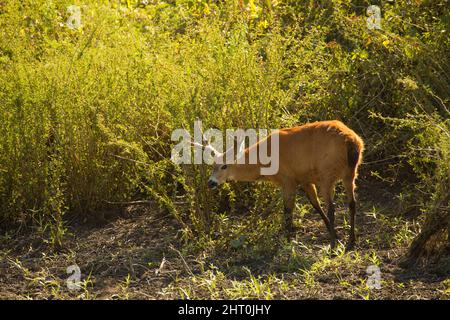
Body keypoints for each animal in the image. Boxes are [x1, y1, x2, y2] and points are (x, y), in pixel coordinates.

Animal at [192, 121, 364, 249]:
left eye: (224, 166)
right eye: (212, 166)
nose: (211, 182)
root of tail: (351, 141)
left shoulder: (288, 179)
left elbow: (287, 211)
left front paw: (286, 241)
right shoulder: (304, 179)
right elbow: (315, 205)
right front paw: (336, 234)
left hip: (327, 173)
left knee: (332, 207)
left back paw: (333, 245)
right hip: (350, 172)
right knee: (352, 203)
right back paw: (351, 241)